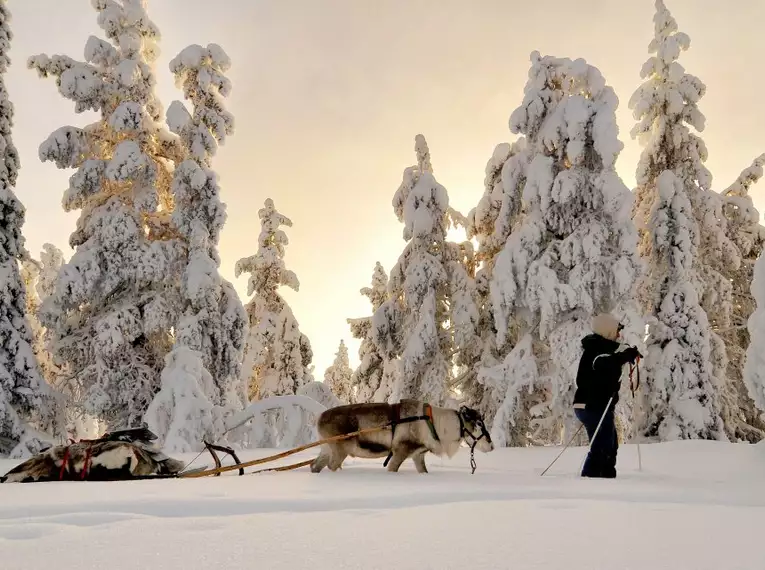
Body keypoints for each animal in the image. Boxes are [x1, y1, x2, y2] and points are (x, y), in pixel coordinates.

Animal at [310, 398, 496, 472]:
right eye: (479, 423)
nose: (492, 445)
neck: (437, 424)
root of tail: (318, 418)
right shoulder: (400, 451)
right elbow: (392, 468)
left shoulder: (418, 455)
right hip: (340, 450)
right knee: (330, 466)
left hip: (326, 449)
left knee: (314, 465)